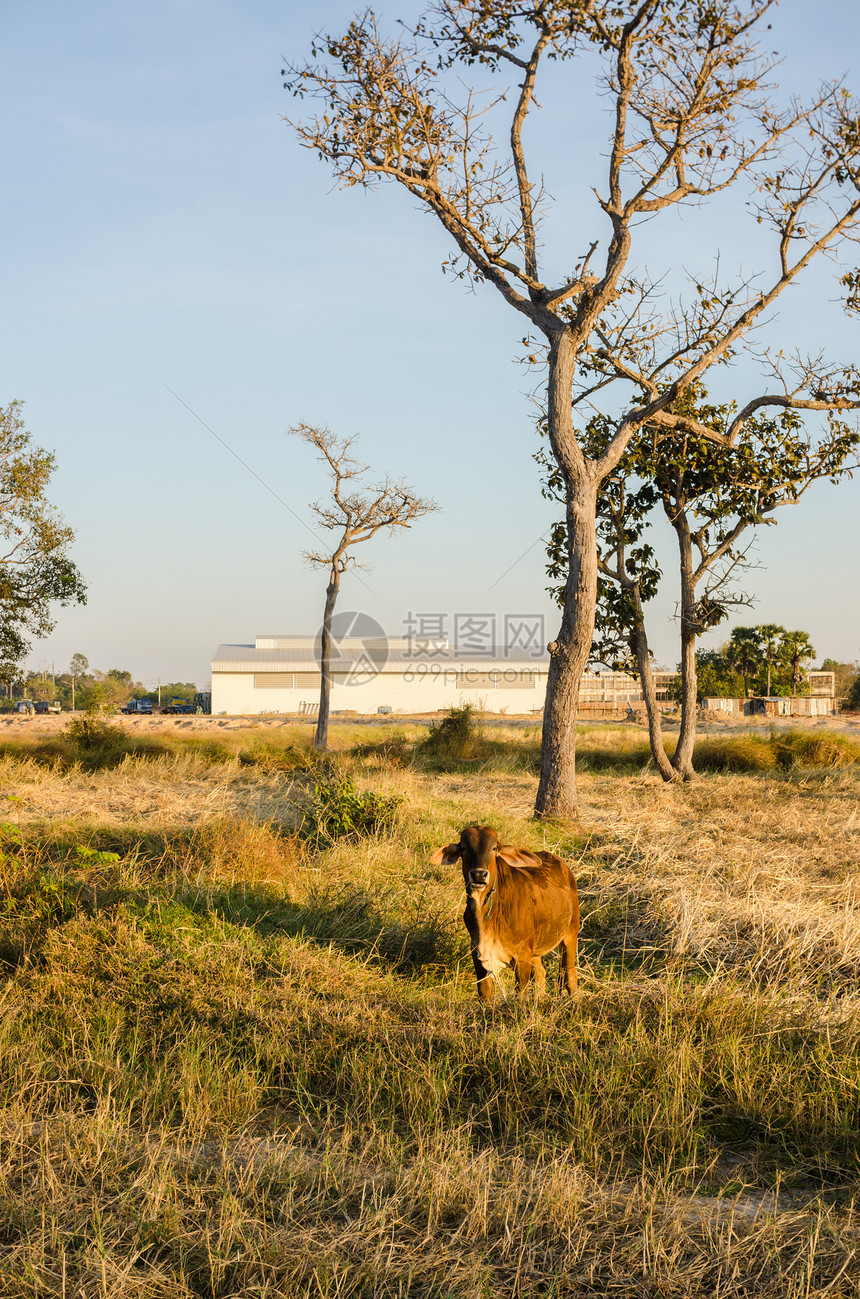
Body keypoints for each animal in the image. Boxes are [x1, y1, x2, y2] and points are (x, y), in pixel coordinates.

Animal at [431, 826, 579, 997]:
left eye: (494, 848)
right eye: (464, 847)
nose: (479, 874)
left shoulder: (522, 958)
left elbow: (520, 994)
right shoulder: (477, 954)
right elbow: (485, 992)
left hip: (570, 933)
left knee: (569, 975)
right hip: (536, 949)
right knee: (540, 974)